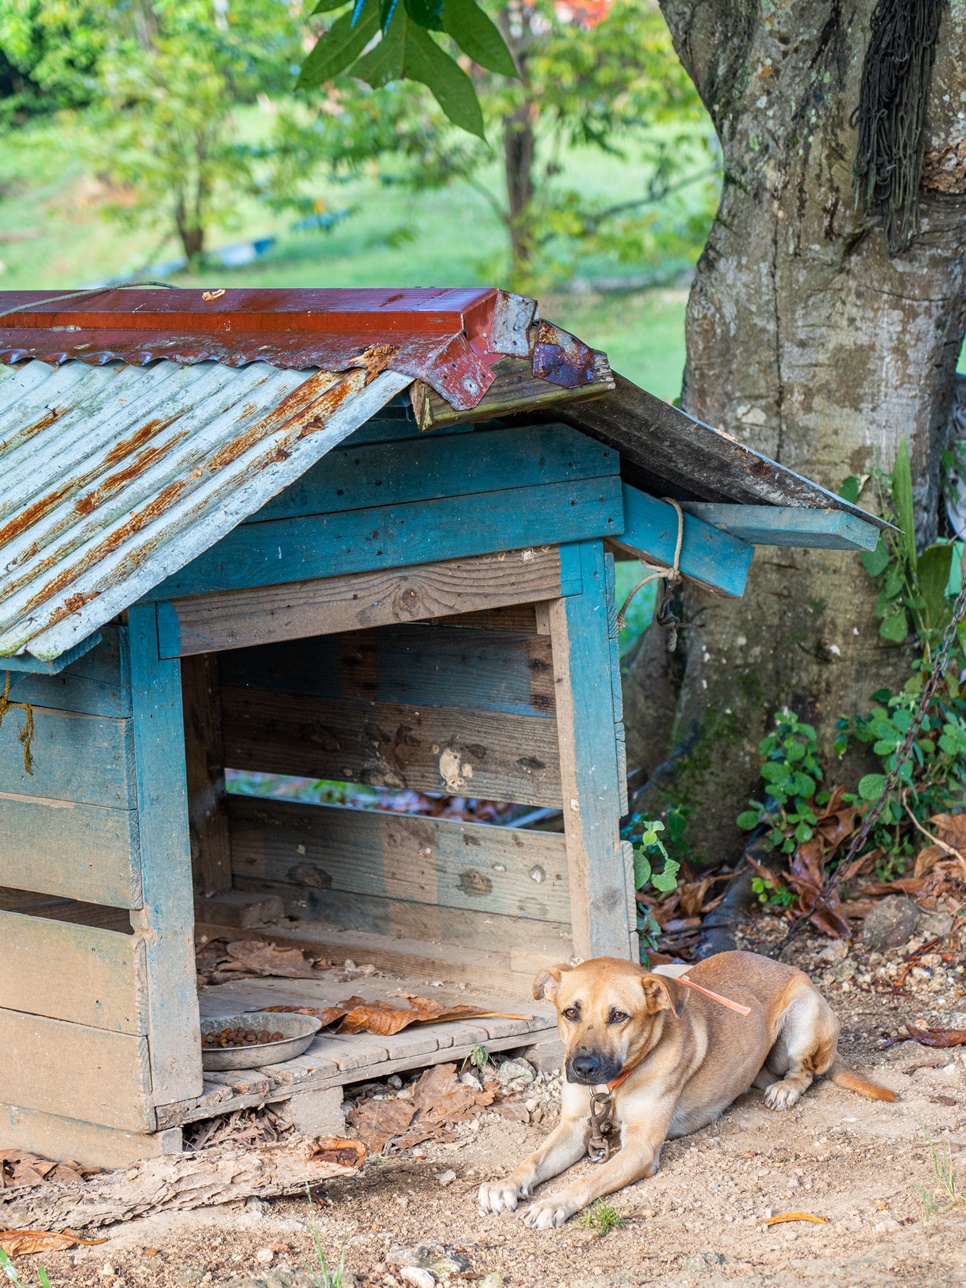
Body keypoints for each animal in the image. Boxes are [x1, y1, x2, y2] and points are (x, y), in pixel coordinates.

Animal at [481, 947, 896, 1226]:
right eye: (570, 1012)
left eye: (619, 1016)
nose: (583, 1069)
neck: (615, 1086)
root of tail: (789, 966)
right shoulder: (573, 1127)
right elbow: (533, 1159)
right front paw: (506, 1183)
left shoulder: (641, 1148)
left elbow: (590, 1176)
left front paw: (554, 1203)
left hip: (803, 1016)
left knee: (807, 1070)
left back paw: (786, 1089)